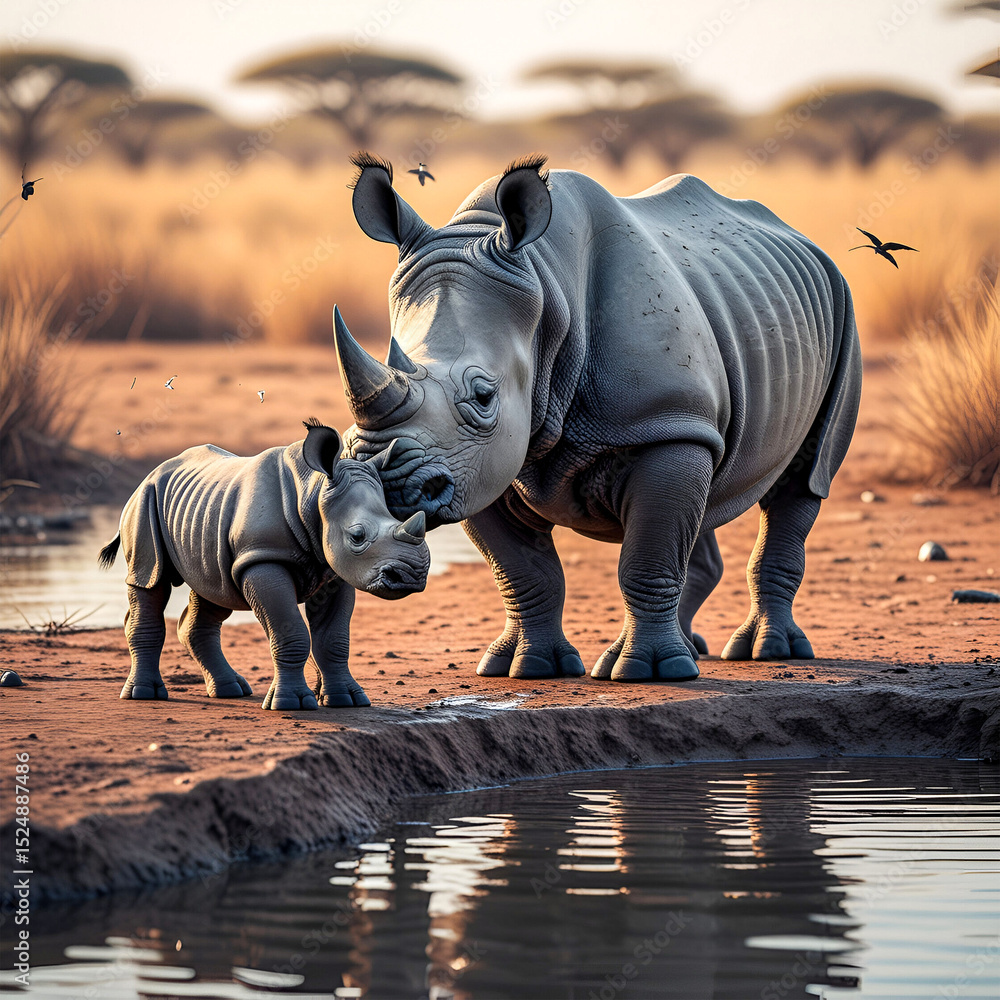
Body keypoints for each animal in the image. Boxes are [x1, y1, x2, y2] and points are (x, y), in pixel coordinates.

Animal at [98, 420, 429, 710]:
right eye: (357, 536)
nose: (410, 577)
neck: (313, 493)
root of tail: (150, 474)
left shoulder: (336, 571)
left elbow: (334, 638)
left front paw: (346, 701)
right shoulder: (262, 557)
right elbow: (290, 632)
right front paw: (292, 704)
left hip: (203, 513)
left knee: (213, 592)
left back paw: (230, 691)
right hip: (144, 502)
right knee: (150, 581)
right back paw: (144, 695)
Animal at [335, 153, 862, 682]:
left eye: (483, 396)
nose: (384, 479)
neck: (544, 286)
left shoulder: (662, 420)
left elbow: (647, 557)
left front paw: (650, 672)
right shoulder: (478, 466)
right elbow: (523, 571)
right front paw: (524, 668)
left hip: (840, 309)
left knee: (803, 480)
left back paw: (765, 651)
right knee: (707, 483)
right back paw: (693, 651)